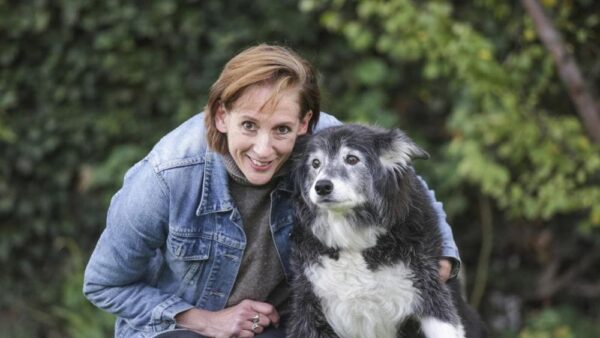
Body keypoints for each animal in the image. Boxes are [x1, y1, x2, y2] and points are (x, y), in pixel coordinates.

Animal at [288, 125, 488, 338]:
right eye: (315, 163)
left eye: (352, 159)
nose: (322, 186)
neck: (354, 241)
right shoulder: (310, 310)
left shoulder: (431, 297)